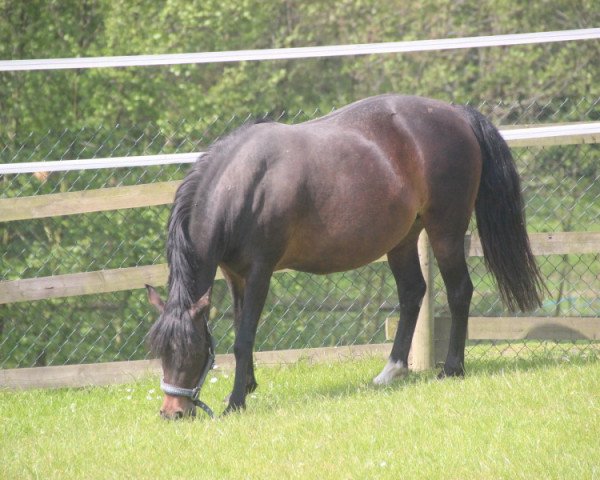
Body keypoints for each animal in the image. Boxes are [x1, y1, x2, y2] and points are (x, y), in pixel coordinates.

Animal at [146, 95, 544, 418]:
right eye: (160, 351)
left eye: (193, 350)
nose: (172, 413)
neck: (244, 185)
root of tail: (456, 114)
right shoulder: (236, 276)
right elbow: (243, 330)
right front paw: (246, 387)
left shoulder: (260, 271)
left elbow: (244, 338)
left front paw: (235, 403)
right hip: (403, 238)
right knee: (412, 293)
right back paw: (391, 371)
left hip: (445, 230)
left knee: (460, 290)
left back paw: (452, 368)